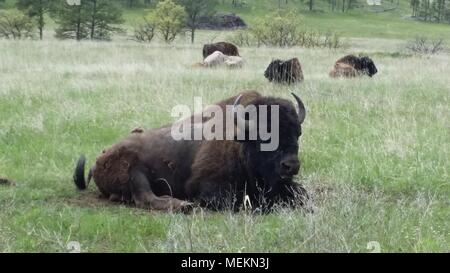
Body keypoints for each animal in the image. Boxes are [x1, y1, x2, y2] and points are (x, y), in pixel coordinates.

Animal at [74, 90, 310, 211]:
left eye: (297, 133)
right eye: (265, 136)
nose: (291, 165)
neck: (240, 143)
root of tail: (98, 161)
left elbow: (302, 195)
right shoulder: (209, 189)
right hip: (135, 170)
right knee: (145, 197)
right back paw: (184, 205)